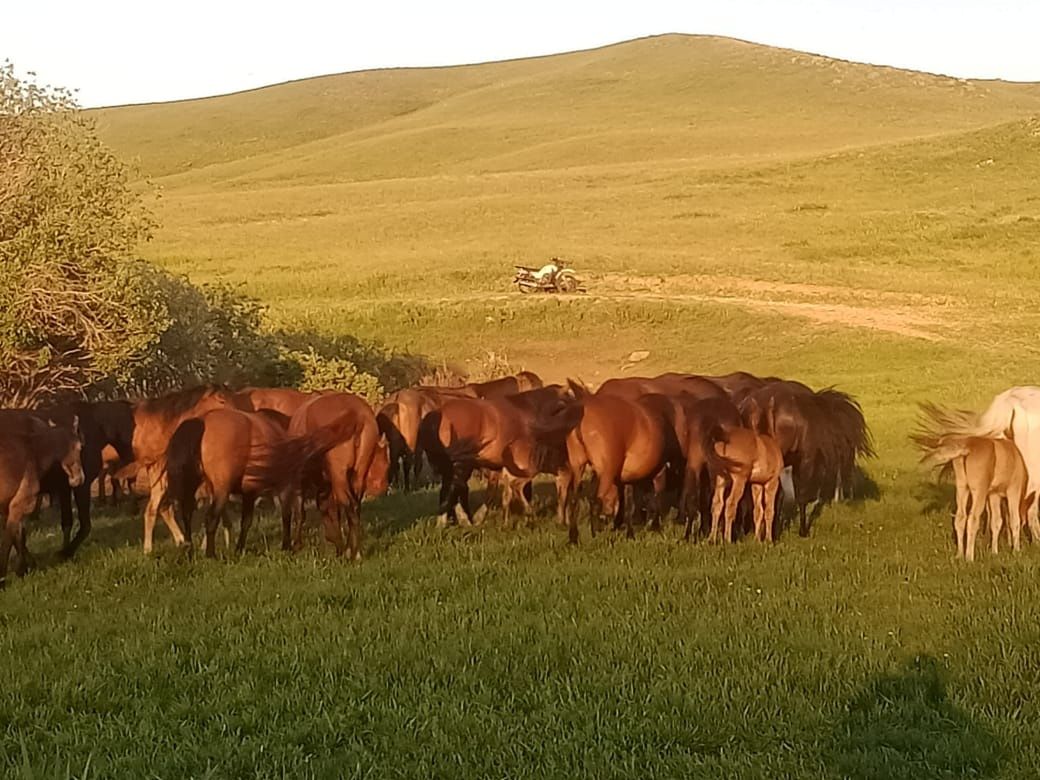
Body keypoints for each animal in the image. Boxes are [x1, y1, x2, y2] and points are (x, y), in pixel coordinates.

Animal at [0, 416, 83, 586]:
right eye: (80, 447)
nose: (79, 479)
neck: (34, 452)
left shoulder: (8, 508)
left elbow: (18, 537)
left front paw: (24, 569)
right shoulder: (18, 506)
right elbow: (9, 540)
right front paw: (4, 578)